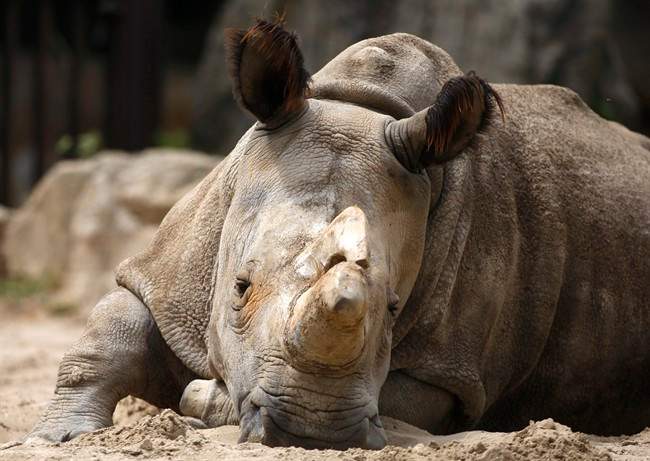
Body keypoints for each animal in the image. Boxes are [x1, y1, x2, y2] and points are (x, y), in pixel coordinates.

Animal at [29, 20, 650, 449]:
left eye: (394, 306)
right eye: (239, 287)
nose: (311, 430)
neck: (364, 108)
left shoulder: (450, 371)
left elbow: (397, 395)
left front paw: (201, 399)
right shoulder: (171, 273)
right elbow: (111, 333)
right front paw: (58, 437)